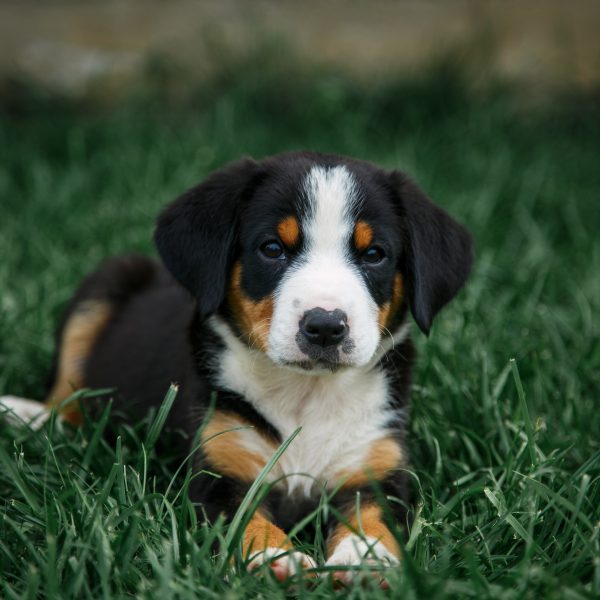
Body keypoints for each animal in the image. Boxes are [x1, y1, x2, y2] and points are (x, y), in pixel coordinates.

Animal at [0, 151, 472, 584]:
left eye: (374, 254)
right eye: (272, 249)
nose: (325, 326)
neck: (306, 394)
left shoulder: (374, 467)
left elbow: (372, 516)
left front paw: (364, 557)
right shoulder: (219, 466)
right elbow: (243, 516)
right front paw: (273, 557)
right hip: (105, 283)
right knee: (66, 396)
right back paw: (26, 415)